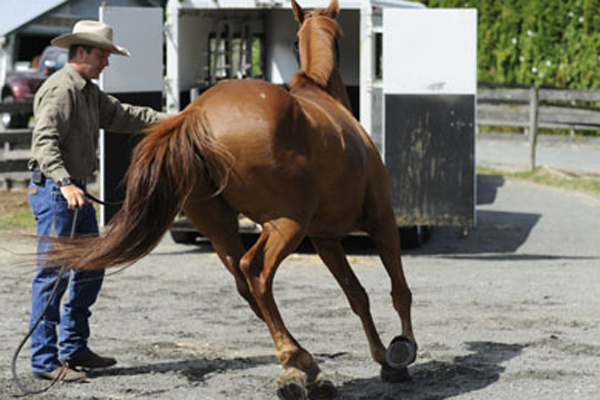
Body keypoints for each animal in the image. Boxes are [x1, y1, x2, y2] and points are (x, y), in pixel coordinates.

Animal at [49, 1, 418, 398]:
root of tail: (194, 116)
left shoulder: (326, 239)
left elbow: (356, 294)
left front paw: (383, 357)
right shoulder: (381, 219)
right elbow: (399, 290)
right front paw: (401, 352)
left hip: (223, 228)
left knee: (245, 284)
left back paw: (302, 369)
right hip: (286, 225)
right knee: (255, 272)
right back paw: (298, 363)